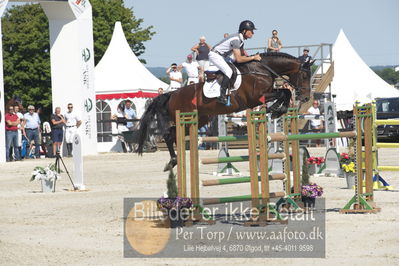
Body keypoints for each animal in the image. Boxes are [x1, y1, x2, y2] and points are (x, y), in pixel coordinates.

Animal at [139, 52, 314, 170]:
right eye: (305, 76)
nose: (306, 97)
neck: (261, 70)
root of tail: (172, 94)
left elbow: (285, 93)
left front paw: (277, 109)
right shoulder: (256, 98)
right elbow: (284, 93)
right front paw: (276, 109)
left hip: (200, 119)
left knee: (173, 135)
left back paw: (175, 161)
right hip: (186, 118)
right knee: (169, 135)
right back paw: (173, 162)